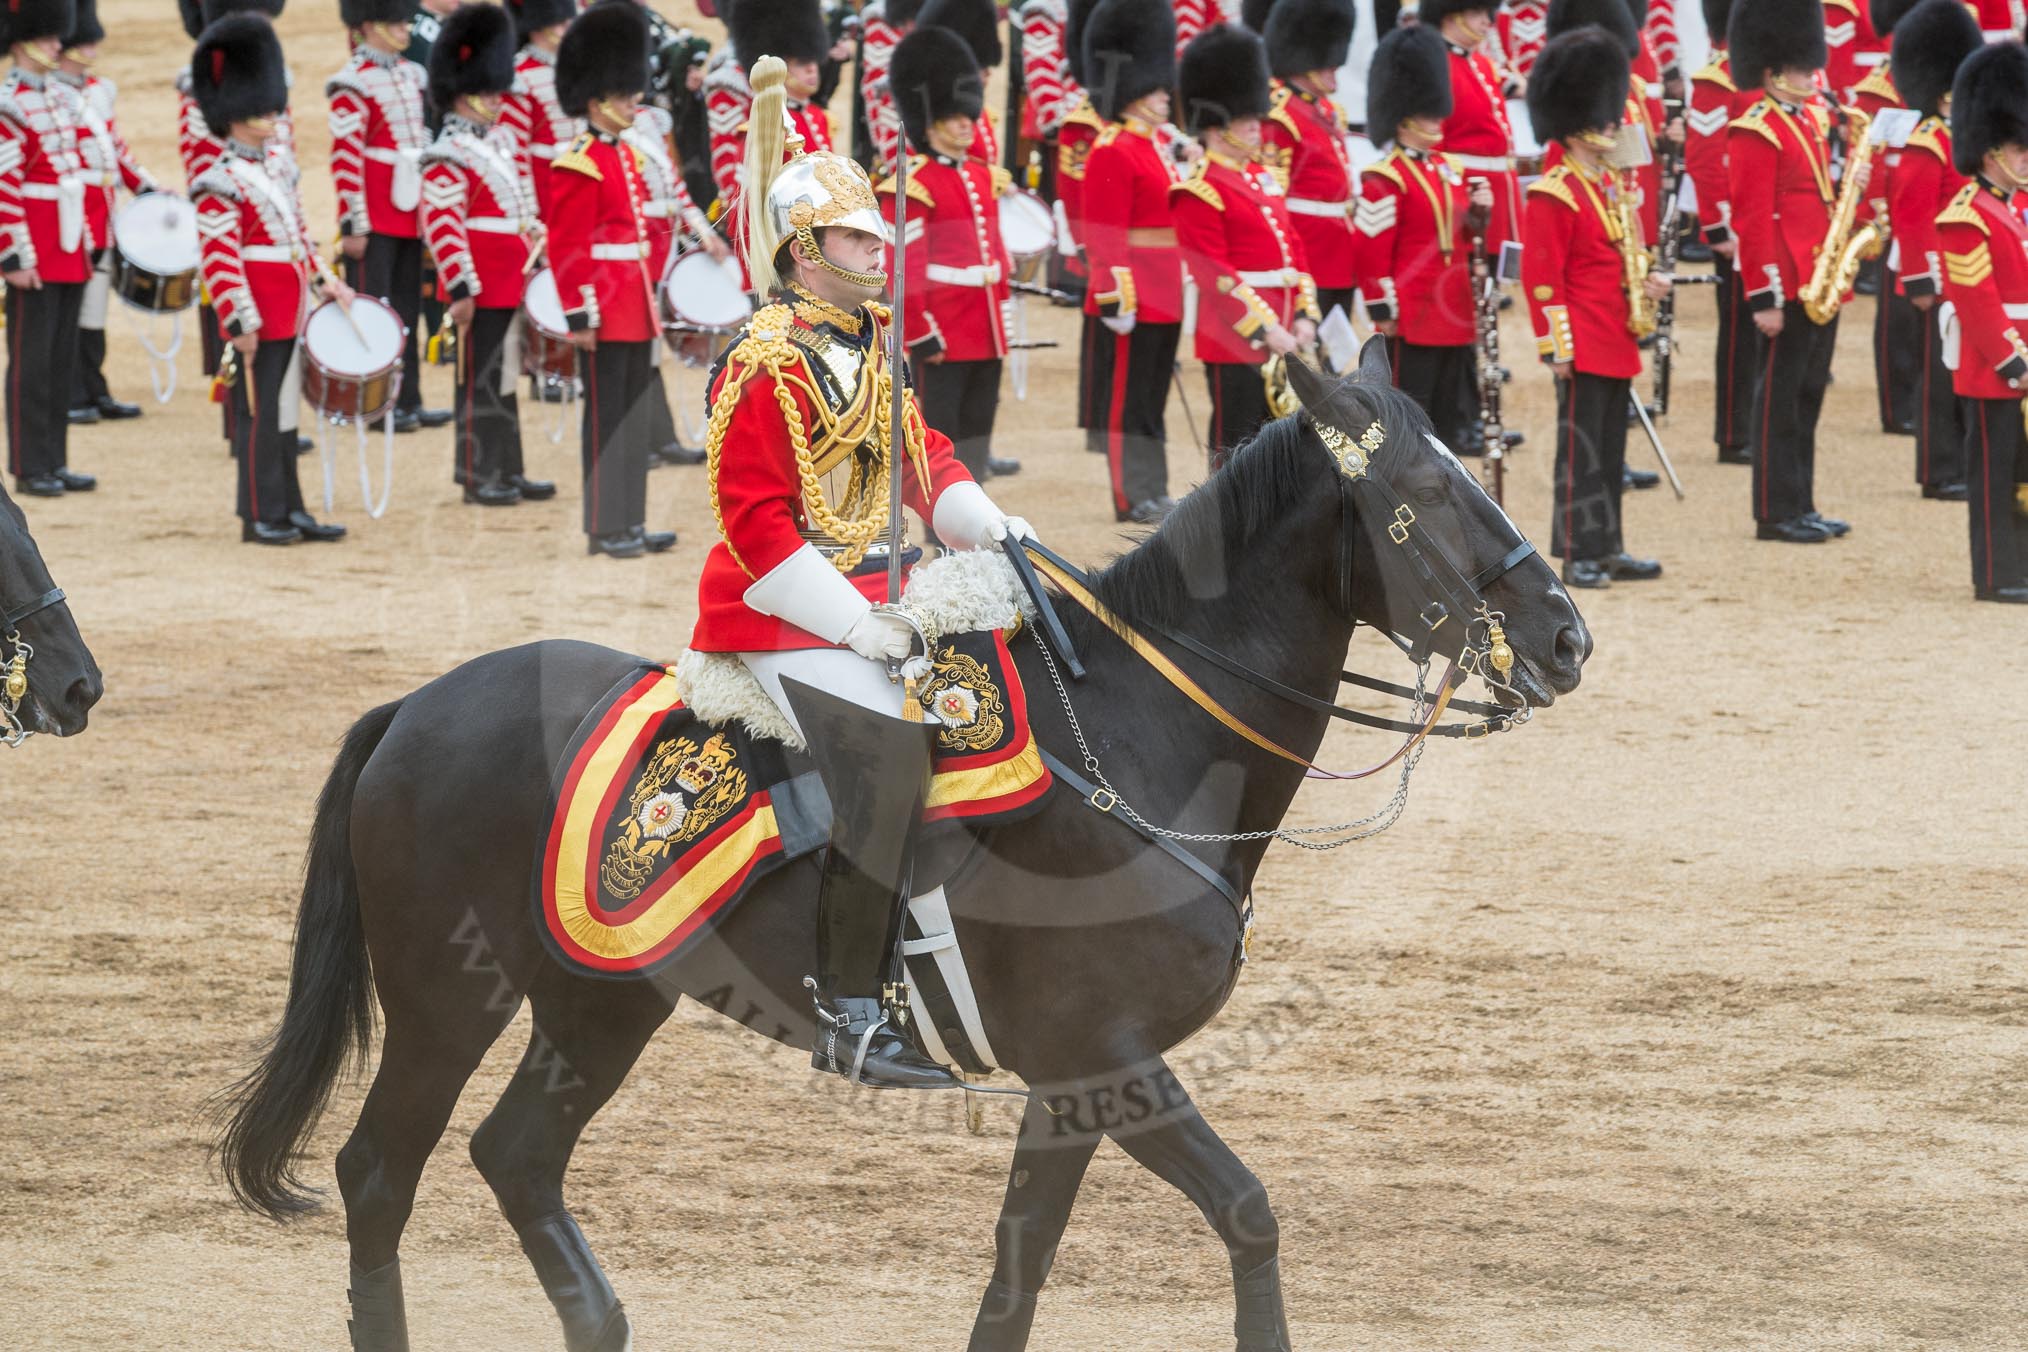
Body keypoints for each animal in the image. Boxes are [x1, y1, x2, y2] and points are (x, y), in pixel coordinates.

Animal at [213, 346, 1591, 1352]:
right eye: (1425, 499)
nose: (1569, 637)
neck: (1143, 740)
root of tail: (419, 705)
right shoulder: (1107, 1059)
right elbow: (1245, 1215)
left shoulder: (1074, 1083)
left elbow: (1019, 1270)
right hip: (451, 995)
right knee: (379, 1171)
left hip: (601, 1001)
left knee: (514, 1159)